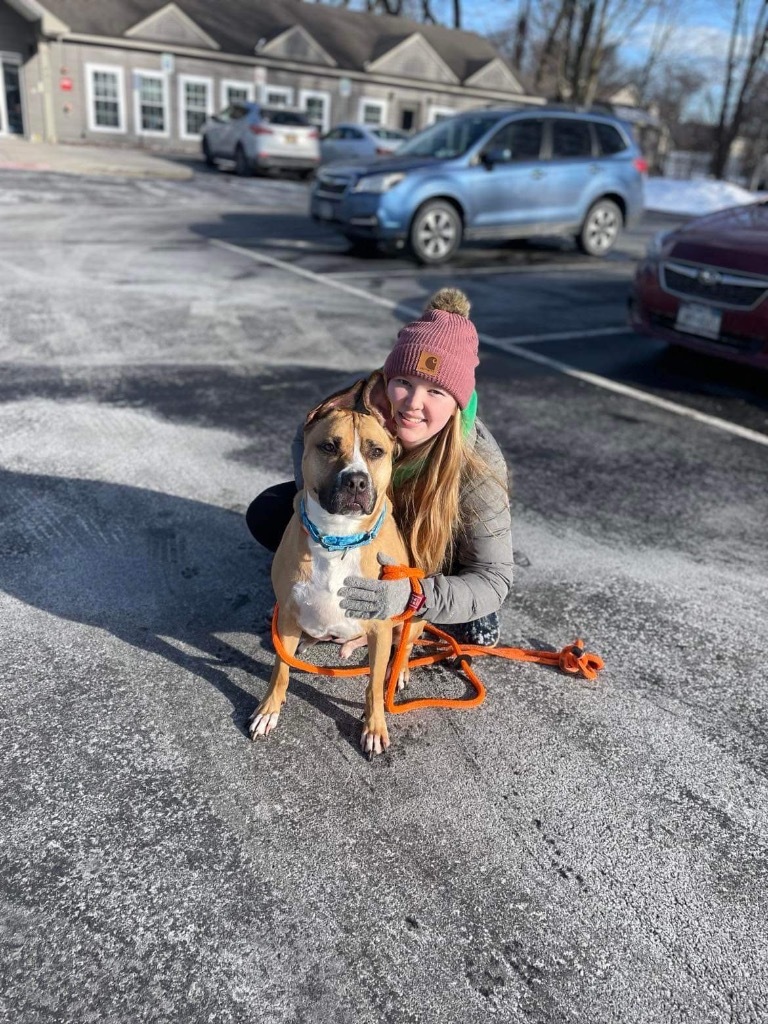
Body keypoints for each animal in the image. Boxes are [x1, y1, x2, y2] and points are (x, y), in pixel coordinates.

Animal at [249, 372, 421, 757]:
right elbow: (280, 670)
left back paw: (398, 669)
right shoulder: (288, 613)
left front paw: (374, 727)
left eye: (376, 451)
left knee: (403, 646)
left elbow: (373, 685)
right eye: (328, 447)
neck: (337, 538)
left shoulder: (380, 625)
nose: (356, 480)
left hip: (415, 613)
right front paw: (269, 709)